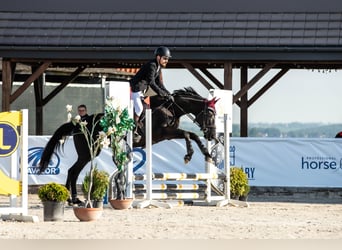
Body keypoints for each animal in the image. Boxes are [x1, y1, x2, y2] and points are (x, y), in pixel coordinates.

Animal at [38, 87, 218, 204]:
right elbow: (188, 134)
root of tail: (80, 122)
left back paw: (71, 199)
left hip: (90, 152)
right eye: (210, 114)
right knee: (73, 171)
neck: (172, 108)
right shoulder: (164, 133)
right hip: (88, 152)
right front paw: (189, 155)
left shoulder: (167, 134)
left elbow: (192, 135)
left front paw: (207, 154)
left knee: (71, 171)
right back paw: (74, 200)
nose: (212, 135)